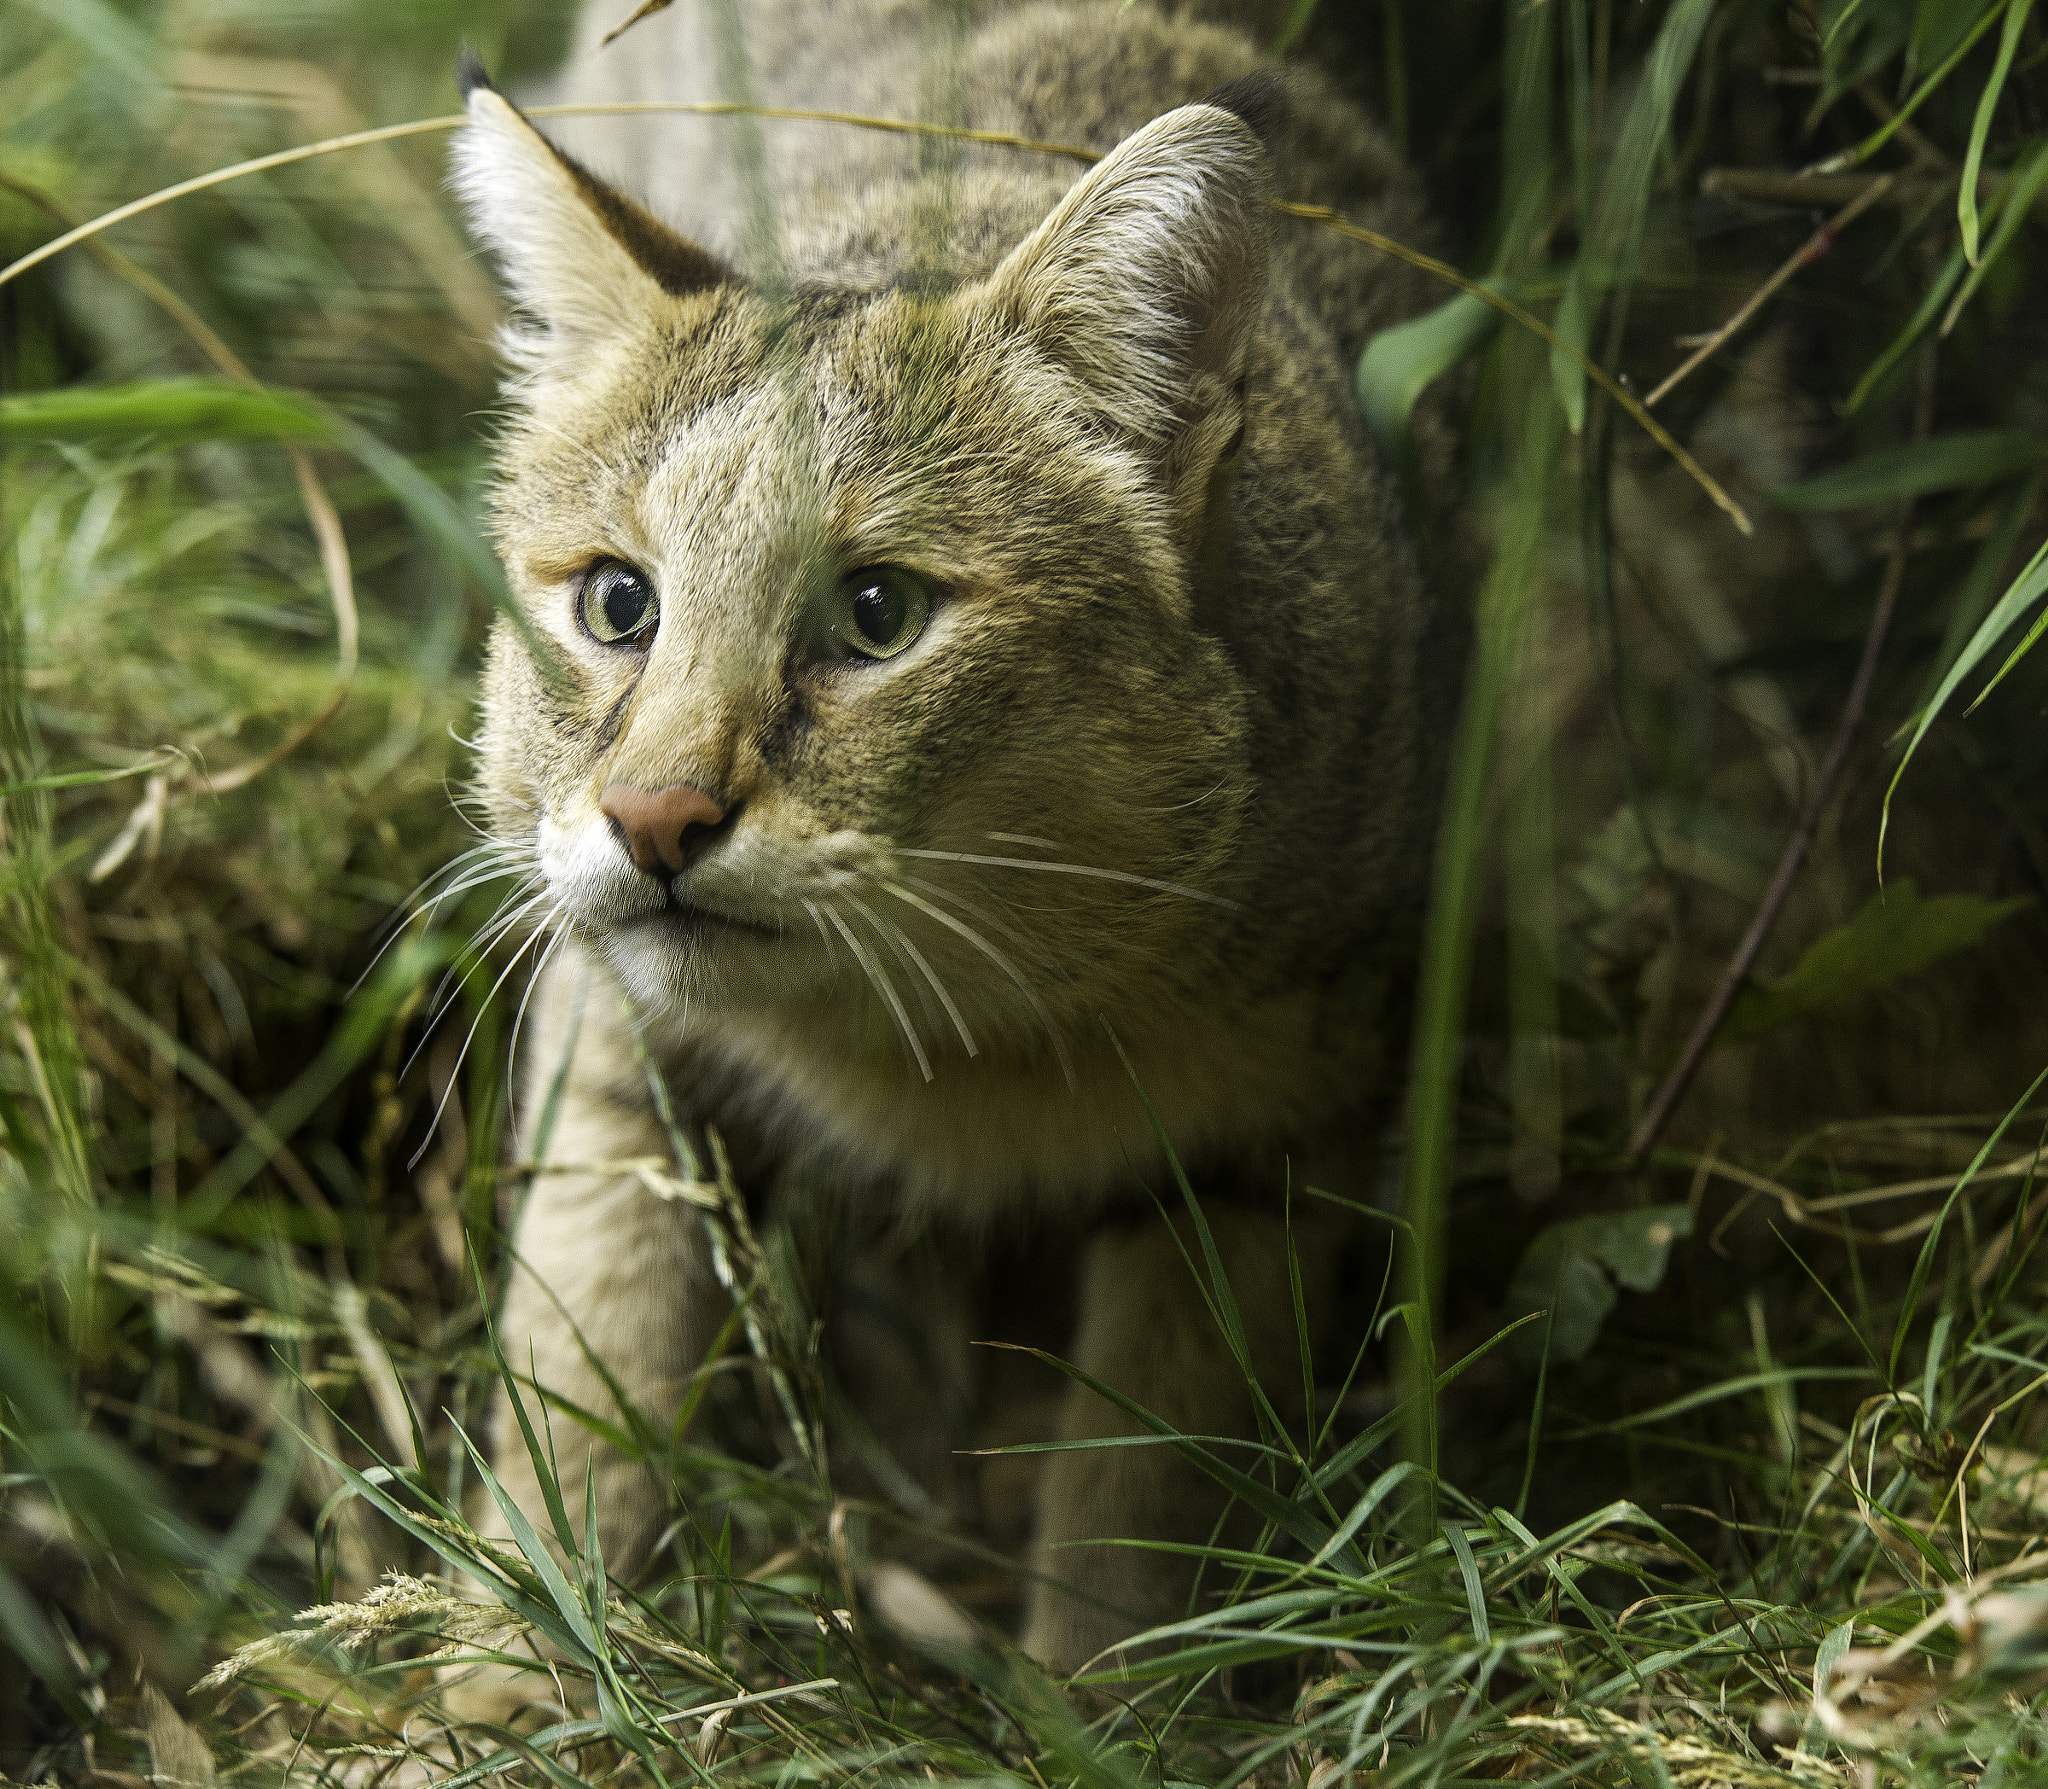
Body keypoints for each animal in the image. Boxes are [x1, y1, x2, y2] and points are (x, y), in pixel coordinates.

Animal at [458, 0, 1466, 1670]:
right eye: (617, 602)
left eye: (879, 614)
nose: (653, 816)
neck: (956, 1036)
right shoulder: (615, 1057)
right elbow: (579, 1378)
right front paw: (514, 1667)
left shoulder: (1259, 1150)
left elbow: (1140, 1506)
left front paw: (1103, 1702)